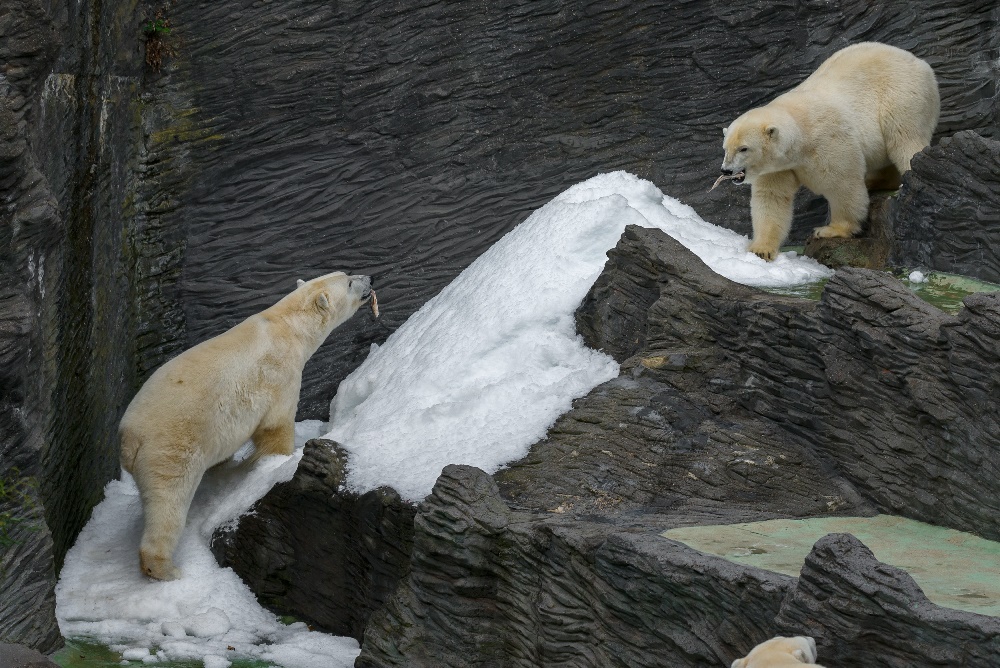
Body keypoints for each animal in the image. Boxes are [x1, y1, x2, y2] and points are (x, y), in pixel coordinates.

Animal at [119, 272, 374, 580]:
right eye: (348, 282)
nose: (370, 279)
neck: (287, 326)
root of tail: (129, 438)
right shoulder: (281, 375)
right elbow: (276, 426)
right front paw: (282, 459)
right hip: (169, 447)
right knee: (167, 503)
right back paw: (167, 569)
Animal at [720, 41, 936, 260]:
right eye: (725, 148)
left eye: (743, 148)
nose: (726, 170)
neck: (801, 133)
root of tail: (918, 62)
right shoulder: (778, 167)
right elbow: (772, 197)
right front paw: (760, 249)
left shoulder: (828, 140)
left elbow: (843, 183)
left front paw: (831, 230)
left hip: (902, 94)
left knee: (904, 138)